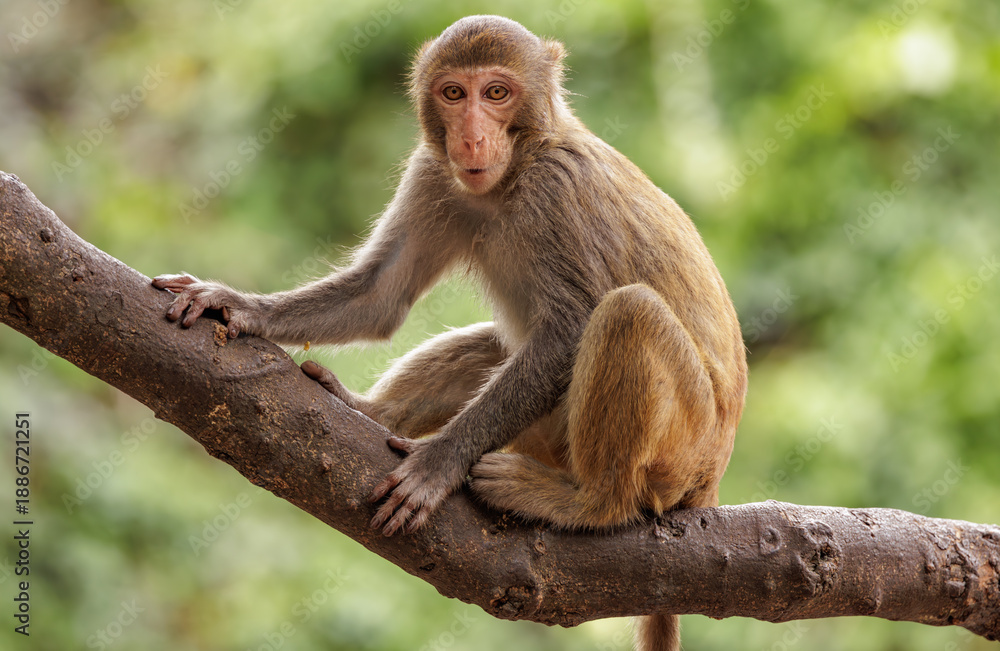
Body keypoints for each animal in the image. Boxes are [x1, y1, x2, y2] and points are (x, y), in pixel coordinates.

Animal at [152, 16, 747, 651]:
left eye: (497, 93)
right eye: (454, 94)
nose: (471, 138)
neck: (517, 169)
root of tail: (712, 479)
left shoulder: (556, 188)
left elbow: (569, 329)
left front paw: (439, 464)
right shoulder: (433, 173)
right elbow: (381, 295)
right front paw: (236, 305)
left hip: (682, 451)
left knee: (626, 312)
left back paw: (590, 501)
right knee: (497, 343)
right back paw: (372, 412)